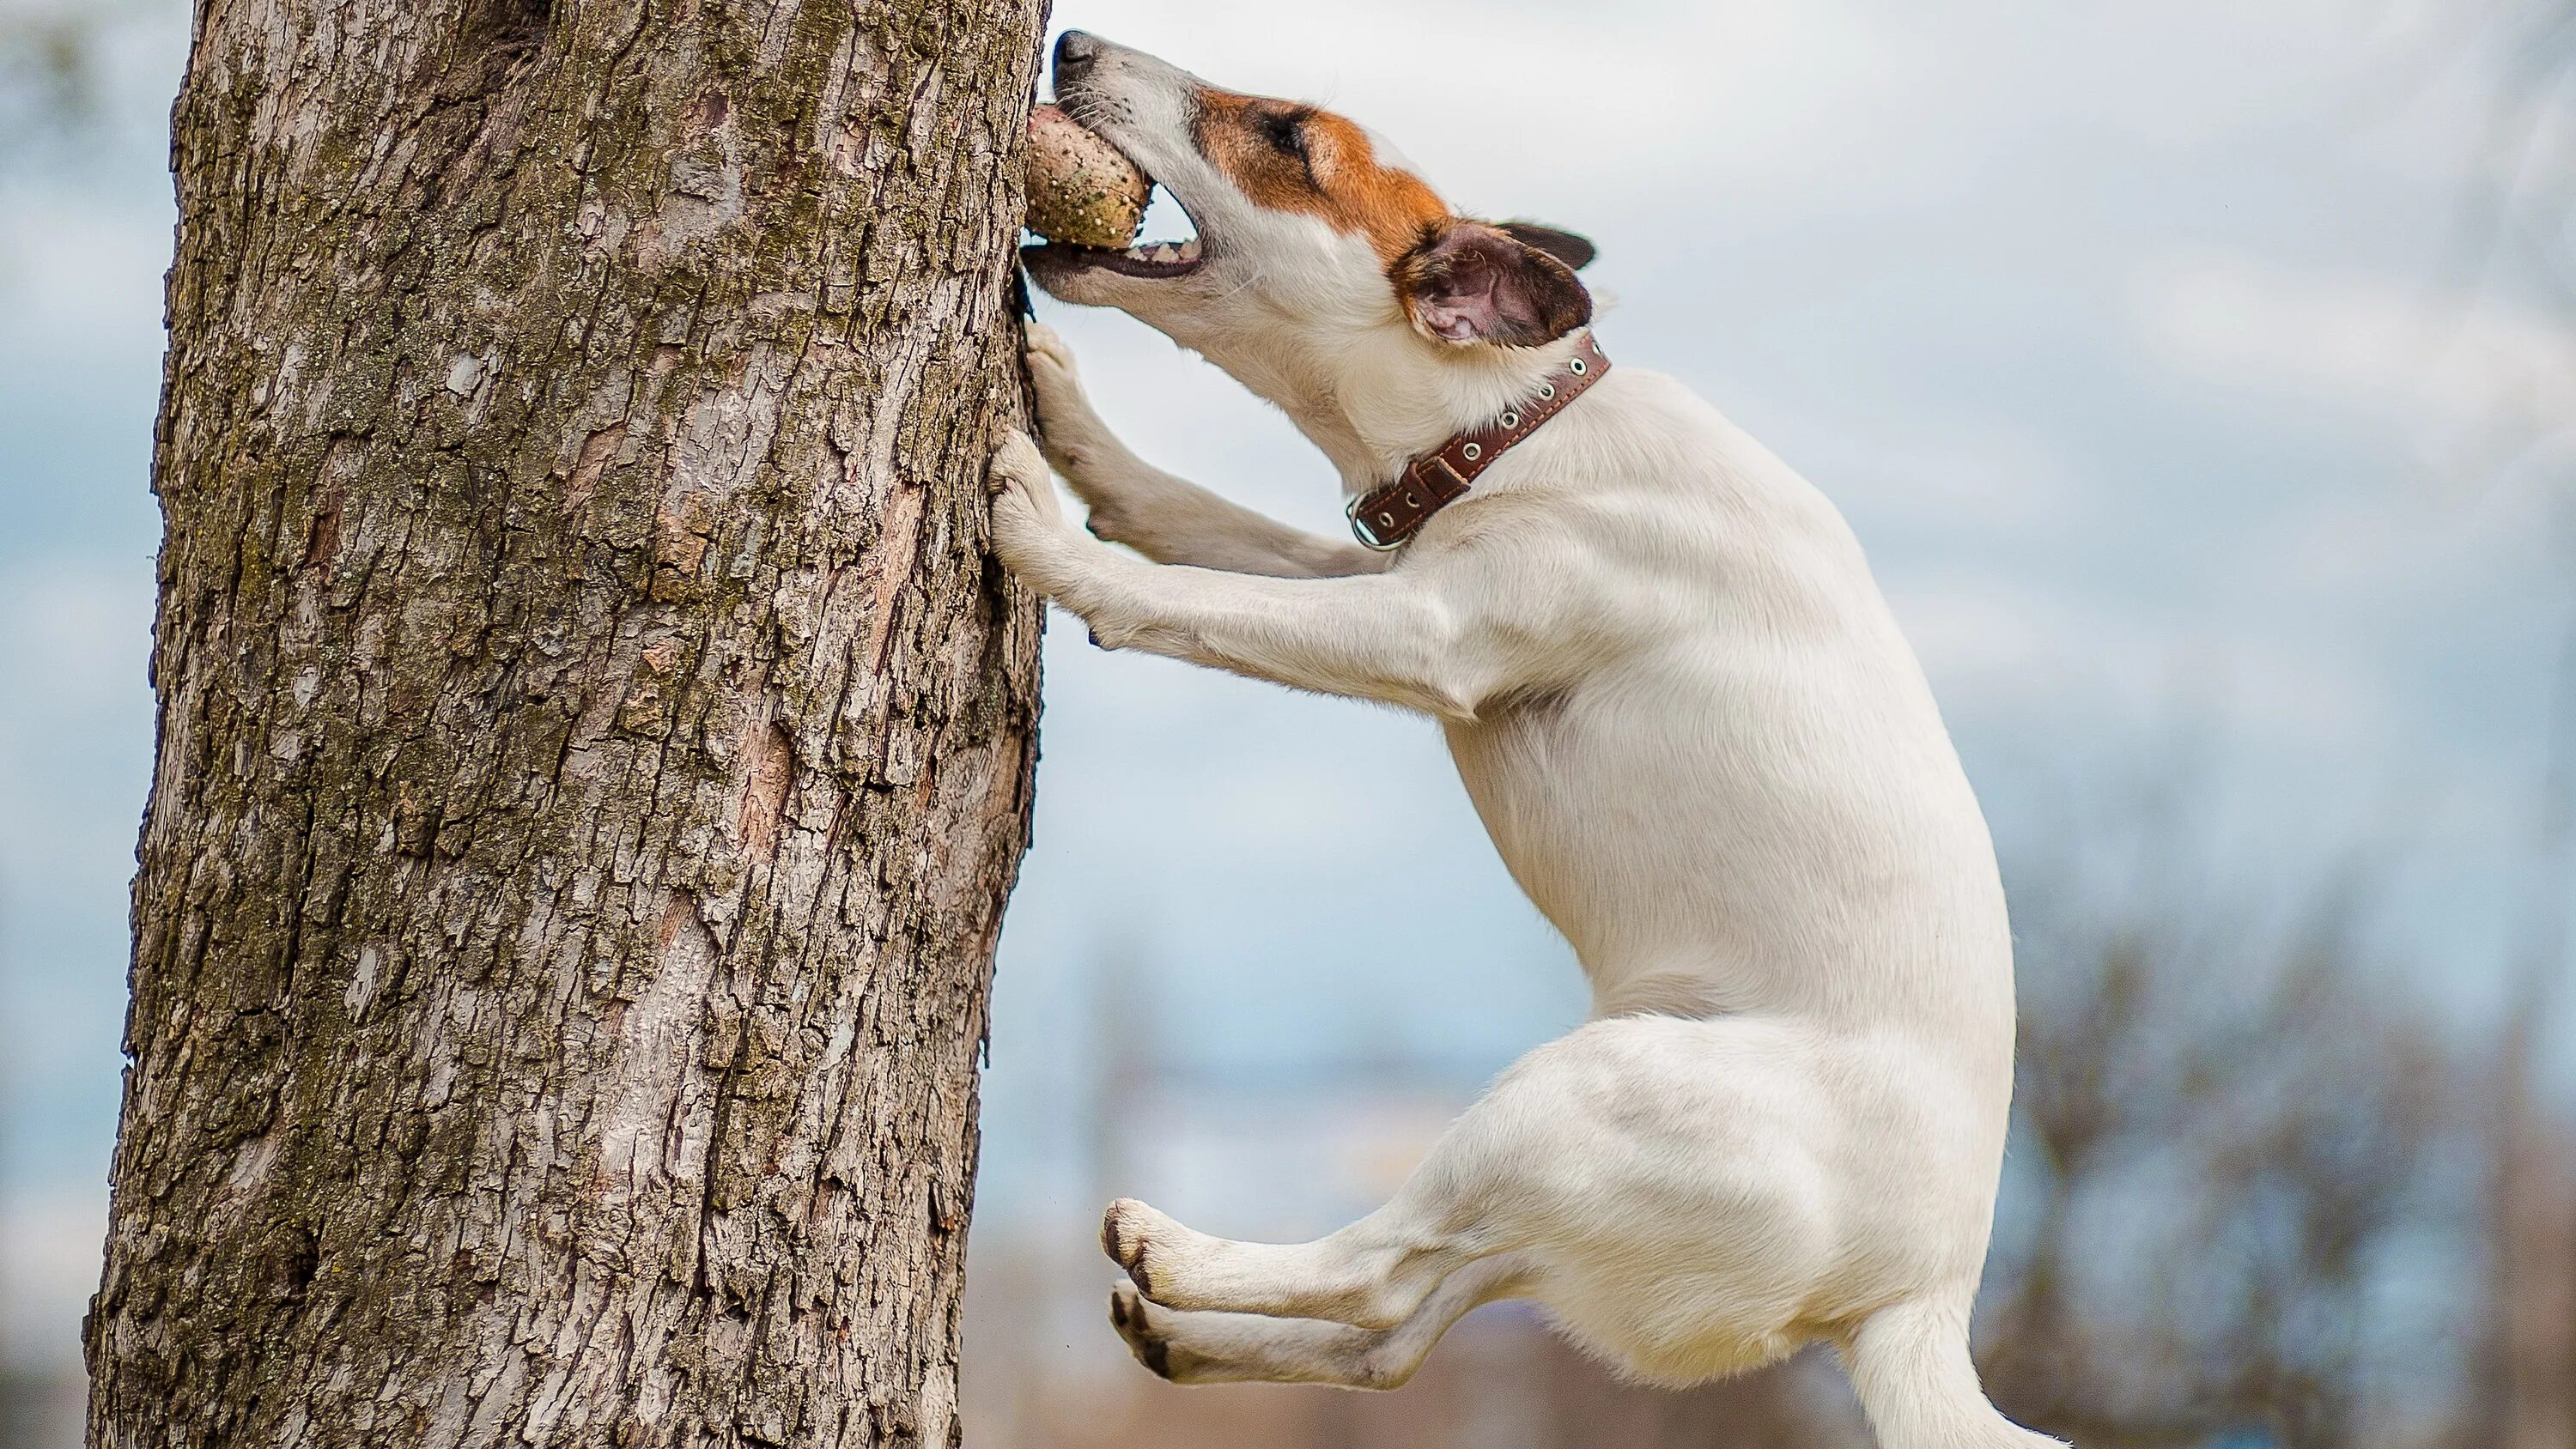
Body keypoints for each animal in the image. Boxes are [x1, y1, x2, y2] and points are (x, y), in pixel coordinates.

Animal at [979, 31, 2050, 1449]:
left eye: (1286, 136)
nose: (1074, 43)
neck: (1519, 419)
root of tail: (1915, 1301)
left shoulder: (1428, 630)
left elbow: (1199, 598)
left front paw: (1048, 533)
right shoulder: (1376, 561)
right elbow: (1209, 527)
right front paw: (1087, 443)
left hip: (1572, 1101)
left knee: (1379, 1265)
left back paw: (1184, 1253)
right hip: (1571, 1207)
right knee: (1399, 1330)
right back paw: (1193, 1339)